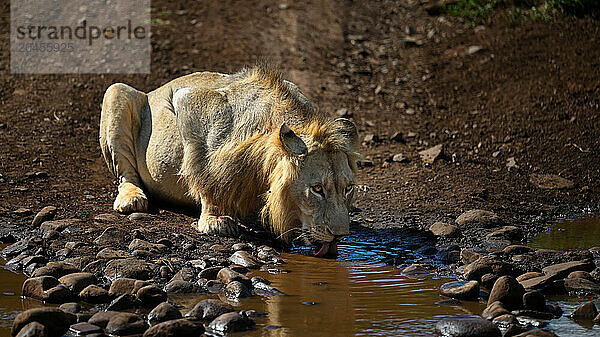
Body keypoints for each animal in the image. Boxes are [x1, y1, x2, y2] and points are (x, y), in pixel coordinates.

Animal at [100, 65, 358, 255]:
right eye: (317, 189)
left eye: (348, 189)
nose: (340, 235)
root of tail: (154, 90)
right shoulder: (188, 101)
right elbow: (204, 170)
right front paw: (215, 220)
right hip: (117, 91)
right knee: (126, 174)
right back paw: (131, 198)